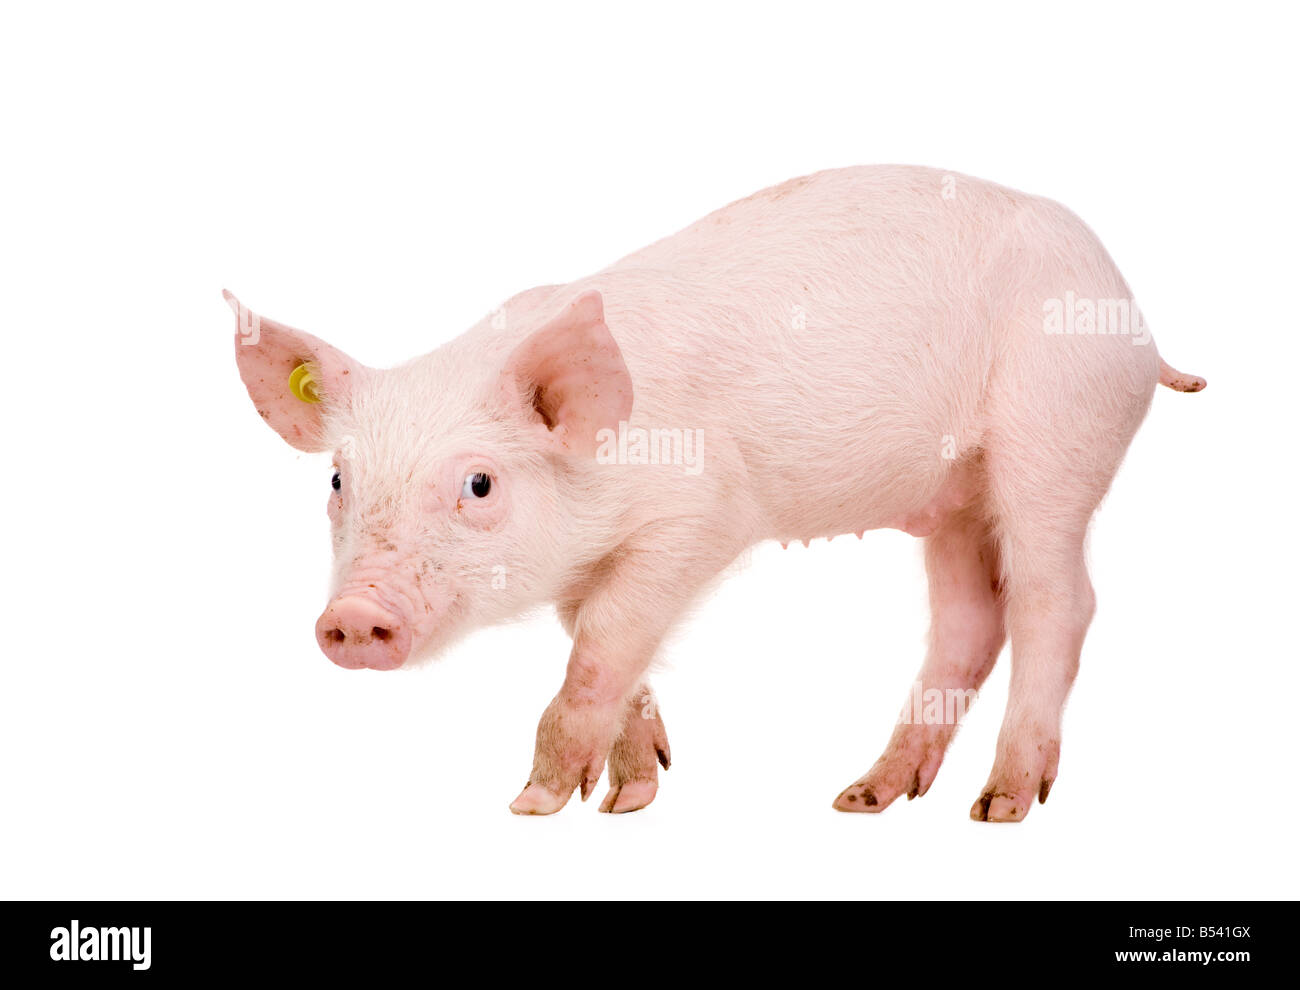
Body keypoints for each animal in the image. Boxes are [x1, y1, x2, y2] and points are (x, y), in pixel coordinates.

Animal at [231, 165, 1205, 821]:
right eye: (337, 479)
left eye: (479, 483)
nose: (353, 616)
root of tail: (1136, 319)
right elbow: (604, 644)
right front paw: (630, 796)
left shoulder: (700, 515)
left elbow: (604, 641)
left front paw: (536, 803)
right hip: (955, 495)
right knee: (971, 618)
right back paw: (864, 798)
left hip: (1054, 437)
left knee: (1057, 601)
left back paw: (1001, 805)